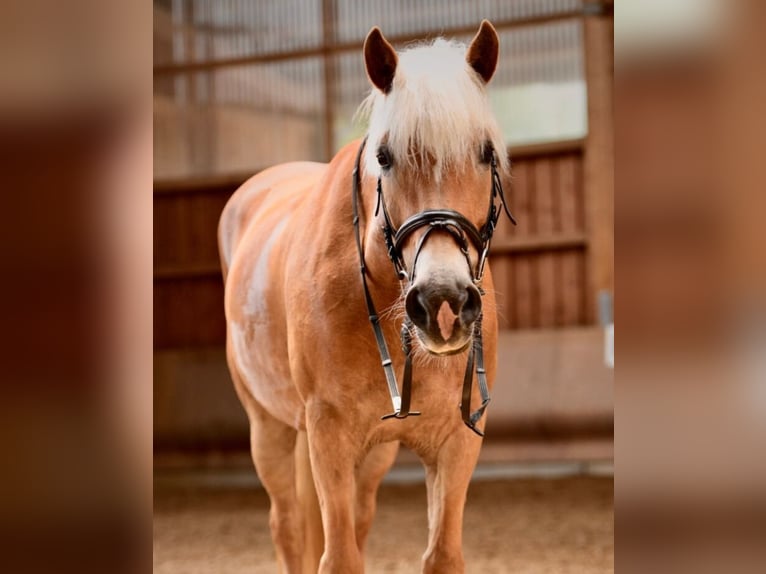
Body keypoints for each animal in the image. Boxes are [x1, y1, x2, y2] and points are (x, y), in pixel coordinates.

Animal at [219, 20, 512, 572]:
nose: (442, 304)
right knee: (287, 526)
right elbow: (338, 557)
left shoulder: (455, 443)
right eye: (384, 157)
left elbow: (440, 555)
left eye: (486, 152)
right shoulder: (328, 434)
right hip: (268, 428)